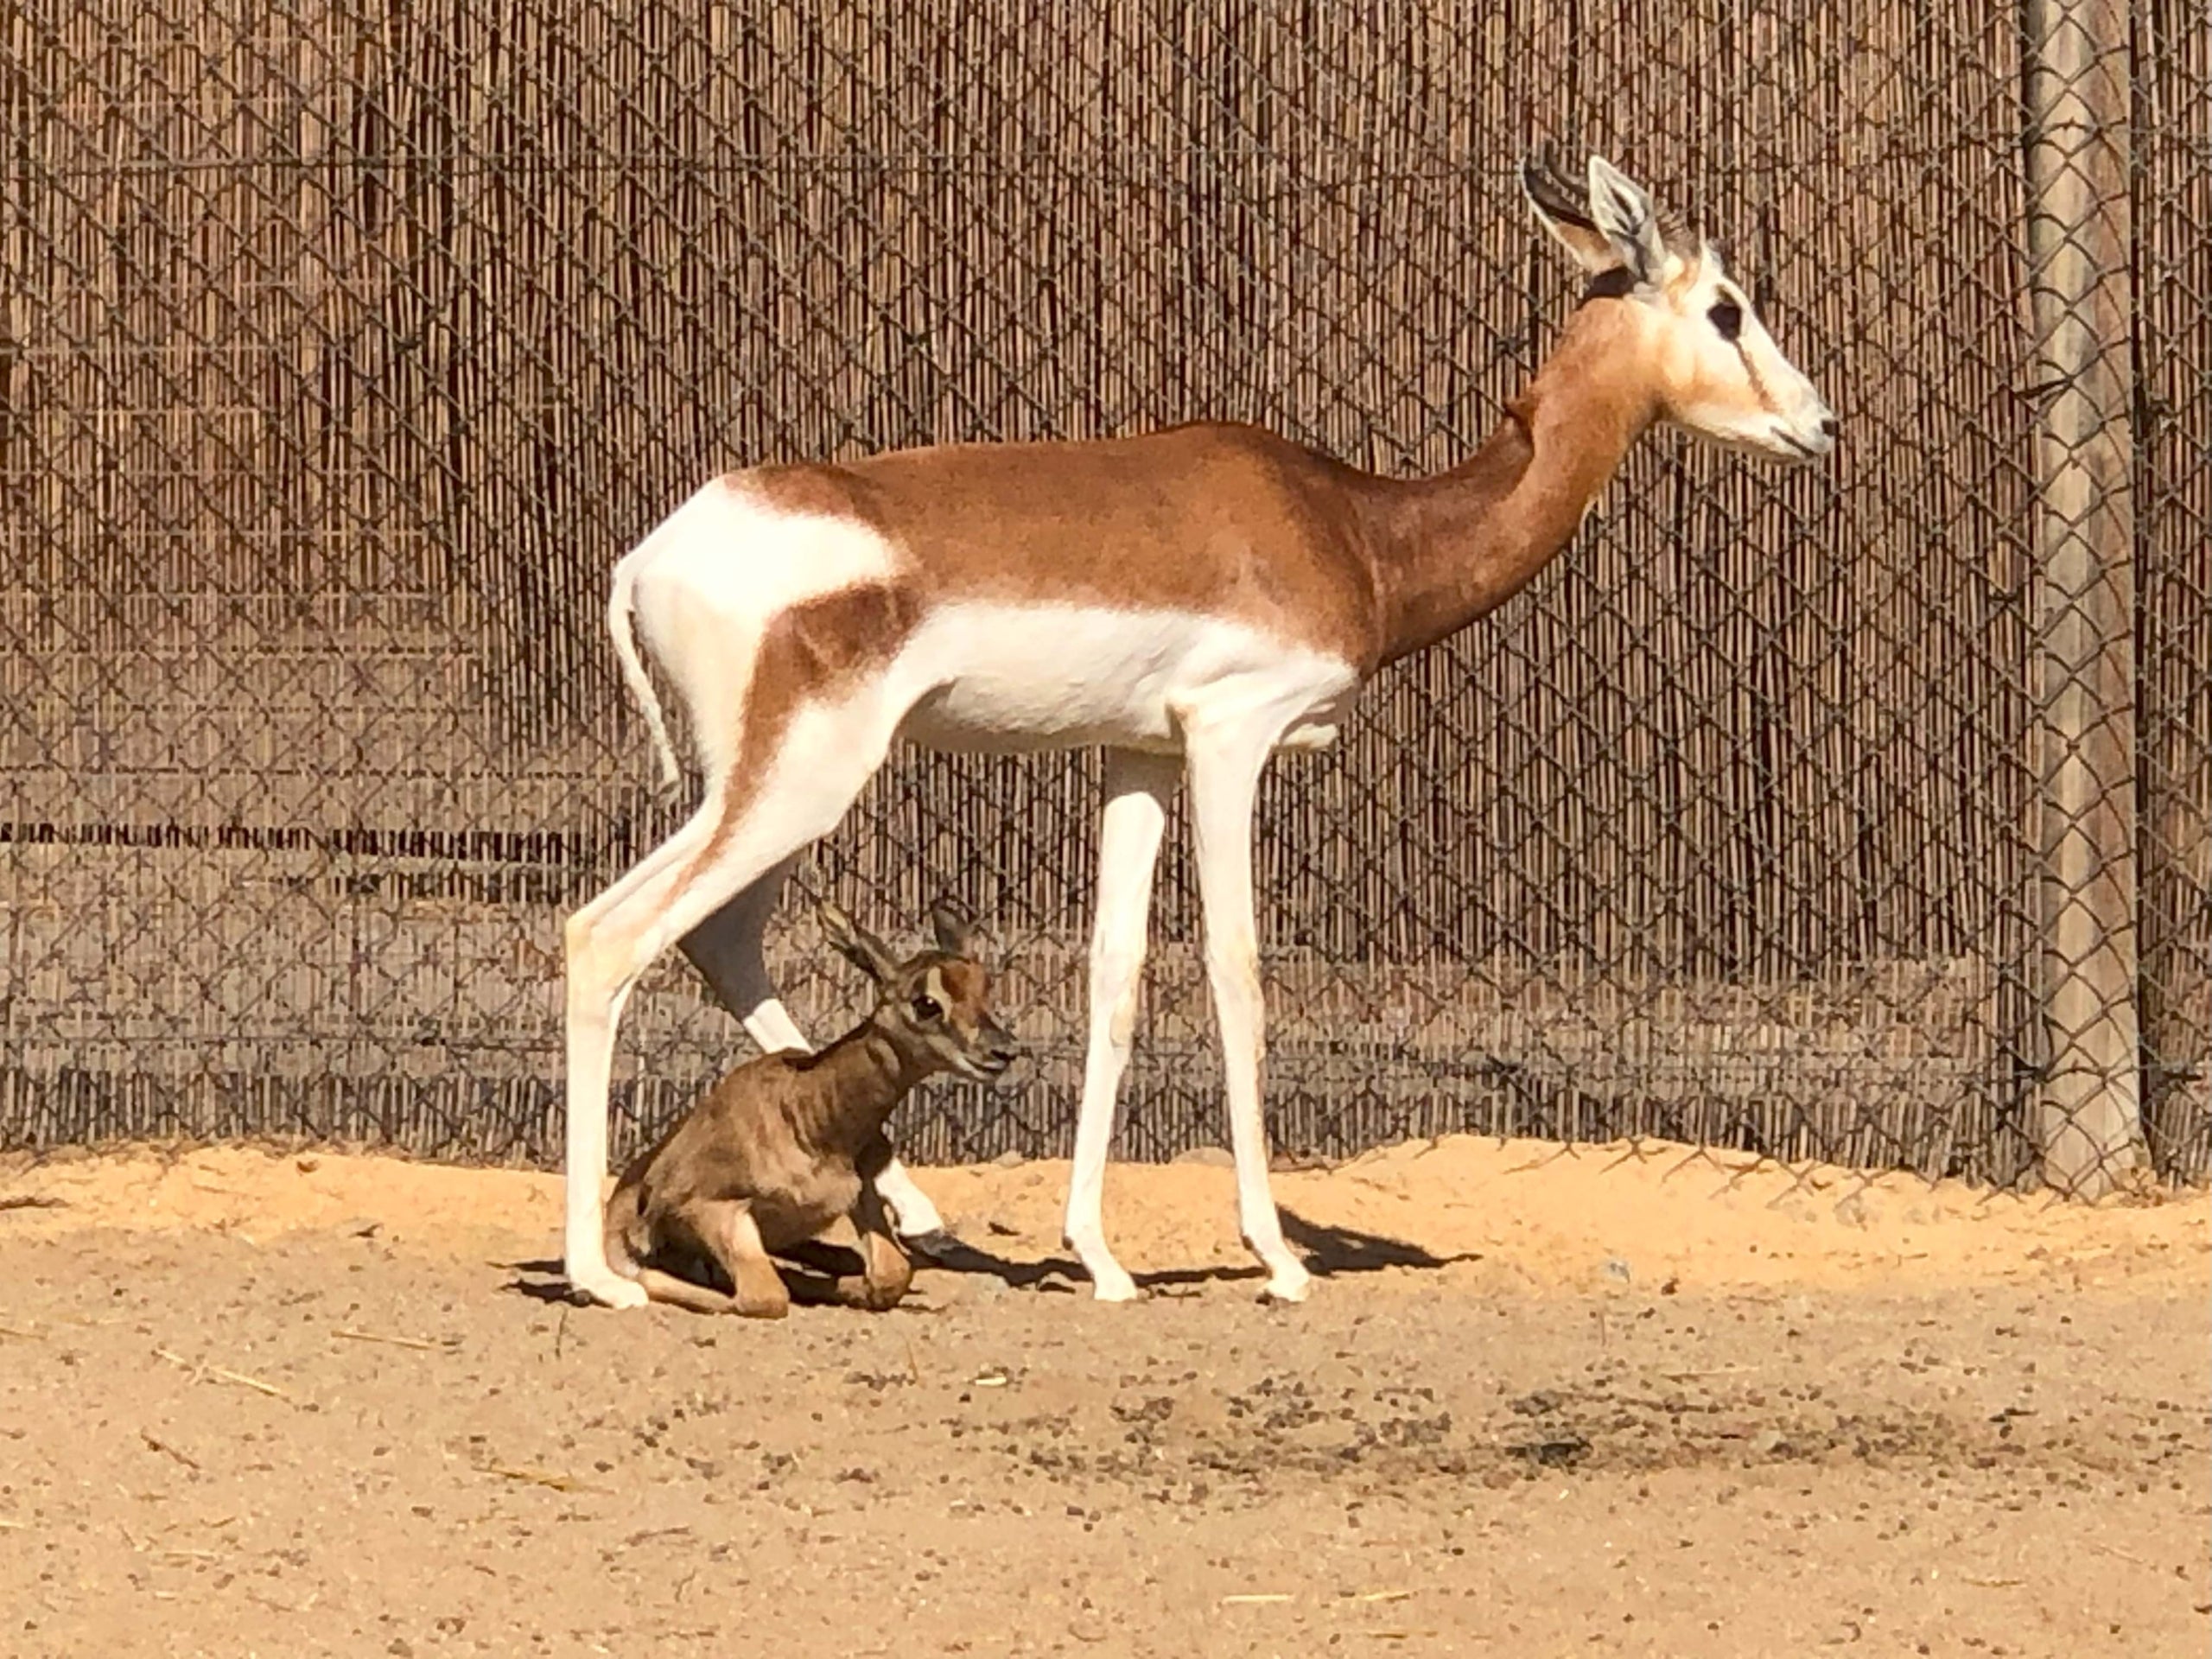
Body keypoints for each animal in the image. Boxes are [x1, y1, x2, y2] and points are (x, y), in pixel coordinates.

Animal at [606, 902, 1017, 1318]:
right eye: (927, 1002)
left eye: (984, 986)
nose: (1003, 1051)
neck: (812, 1119)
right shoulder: (712, 1208)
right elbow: (764, 1295)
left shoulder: (862, 1194)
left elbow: (892, 1275)